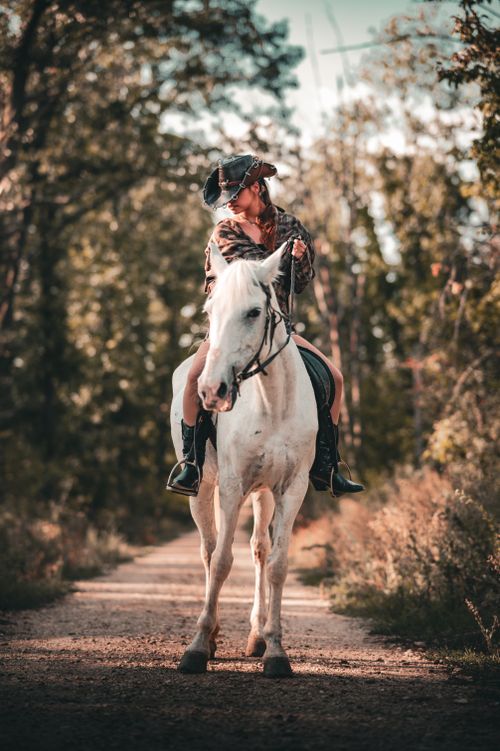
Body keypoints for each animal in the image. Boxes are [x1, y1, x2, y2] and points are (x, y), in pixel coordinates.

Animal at [169, 242, 317, 678]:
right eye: (209, 310)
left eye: (253, 312)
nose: (211, 391)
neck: (271, 402)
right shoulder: (232, 486)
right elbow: (220, 561)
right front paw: (197, 648)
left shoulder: (291, 489)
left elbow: (278, 563)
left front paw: (275, 650)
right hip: (203, 488)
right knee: (208, 549)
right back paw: (214, 636)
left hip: (263, 493)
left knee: (258, 550)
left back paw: (255, 636)